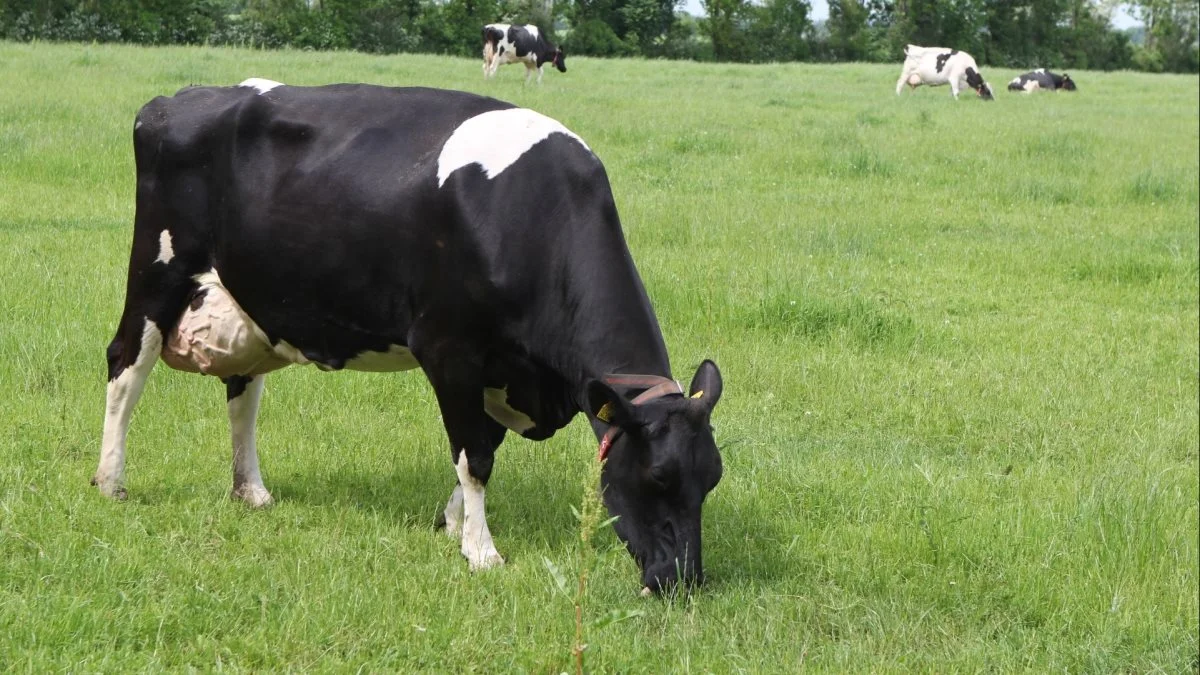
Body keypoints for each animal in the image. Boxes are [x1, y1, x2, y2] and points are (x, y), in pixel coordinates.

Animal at [93, 79, 720, 593]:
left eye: (711, 479)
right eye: (658, 477)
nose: (682, 581)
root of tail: (176, 99)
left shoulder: (501, 371)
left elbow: (484, 444)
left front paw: (454, 524)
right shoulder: (449, 349)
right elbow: (476, 456)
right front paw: (481, 550)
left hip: (250, 300)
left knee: (241, 394)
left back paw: (251, 490)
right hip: (158, 270)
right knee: (125, 367)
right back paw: (111, 481)